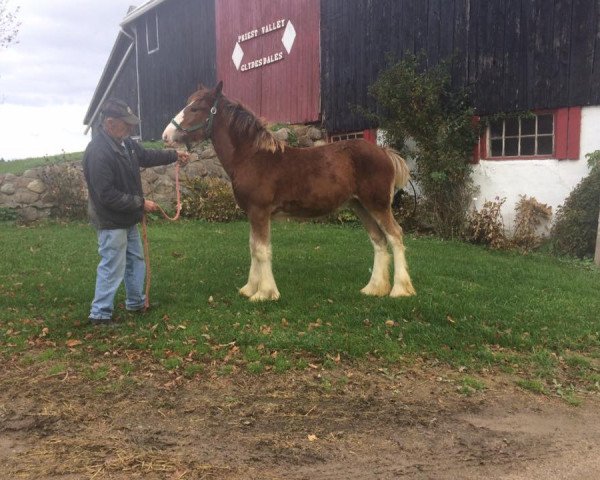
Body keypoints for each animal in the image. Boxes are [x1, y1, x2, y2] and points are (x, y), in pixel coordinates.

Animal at [164, 81, 418, 300]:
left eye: (195, 108)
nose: (166, 136)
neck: (252, 157)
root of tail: (384, 152)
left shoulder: (259, 211)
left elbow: (261, 250)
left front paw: (264, 293)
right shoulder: (253, 213)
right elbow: (253, 247)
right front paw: (249, 289)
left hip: (377, 204)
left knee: (395, 235)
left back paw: (399, 289)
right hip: (360, 206)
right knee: (378, 240)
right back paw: (374, 288)